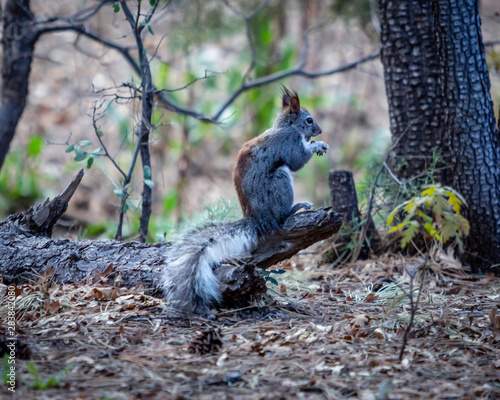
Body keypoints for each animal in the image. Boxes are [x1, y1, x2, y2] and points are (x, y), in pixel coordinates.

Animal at [162, 87, 330, 316]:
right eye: (309, 120)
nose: (320, 131)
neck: (286, 127)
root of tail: (257, 218)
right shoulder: (289, 143)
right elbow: (297, 161)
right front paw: (317, 146)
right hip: (279, 182)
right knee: (281, 215)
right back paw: (296, 208)